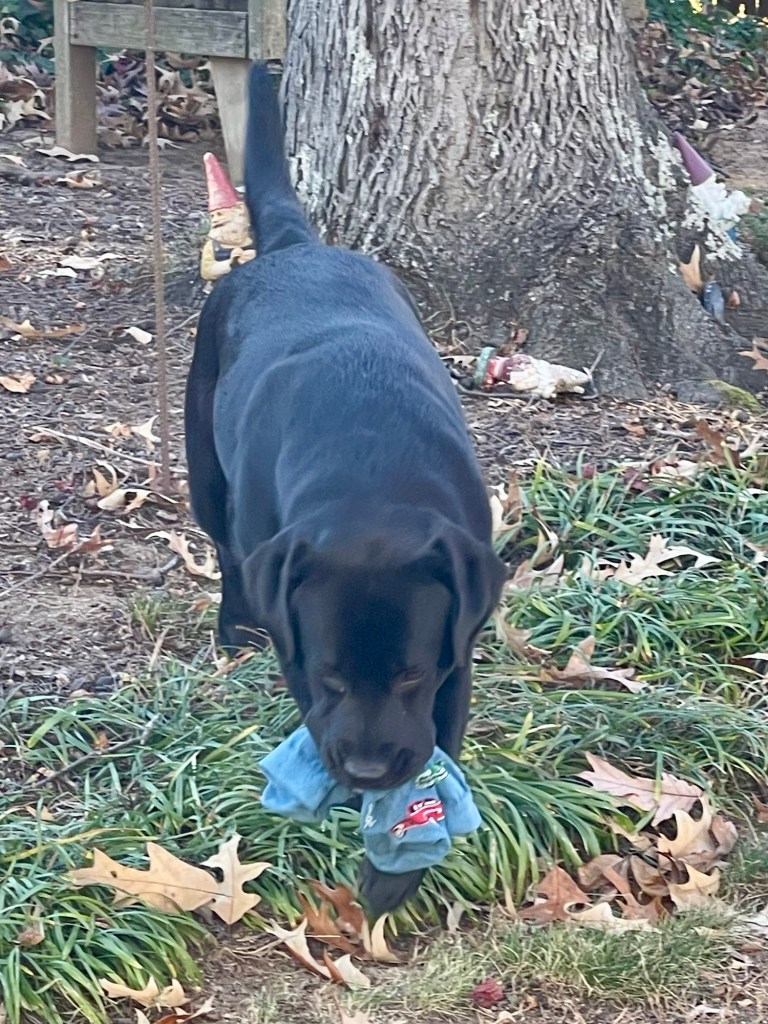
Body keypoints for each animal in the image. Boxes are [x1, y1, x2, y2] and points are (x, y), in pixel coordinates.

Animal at [185, 62, 506, 914]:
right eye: (330, 674)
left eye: (412, 674)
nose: (362, 769)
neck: (369, 475)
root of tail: (296, 247)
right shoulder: (301, 649)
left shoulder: (458, 645)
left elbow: (439, 736)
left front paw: (395, 863)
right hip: (205, 476)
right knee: (226, 552)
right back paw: (234, 622)